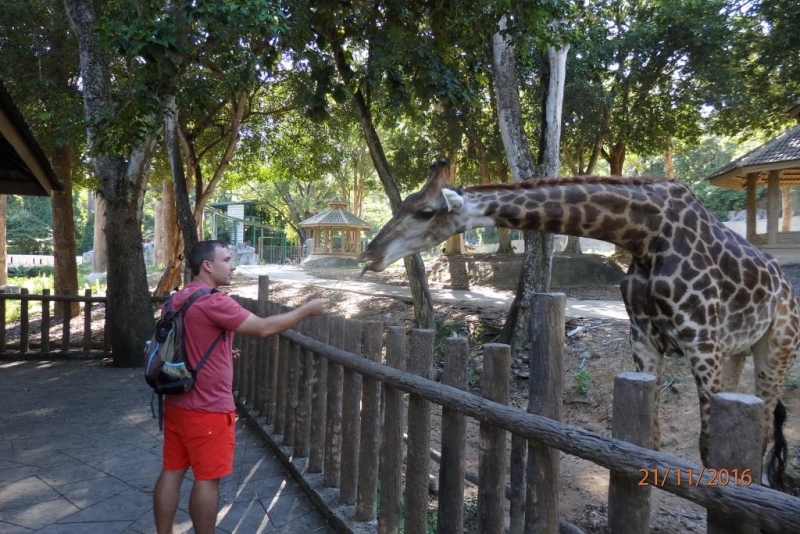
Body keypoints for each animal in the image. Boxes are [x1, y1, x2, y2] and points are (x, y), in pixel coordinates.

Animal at [360, 159, 796, 490]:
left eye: (425, 211)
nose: (370, 253)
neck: (645, 236)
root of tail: (786, 285)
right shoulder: (643, 338)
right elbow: (651, 442)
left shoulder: (700, 337)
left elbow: (706, 449)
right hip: (737, 349)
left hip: (776, 347)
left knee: (765, 428)